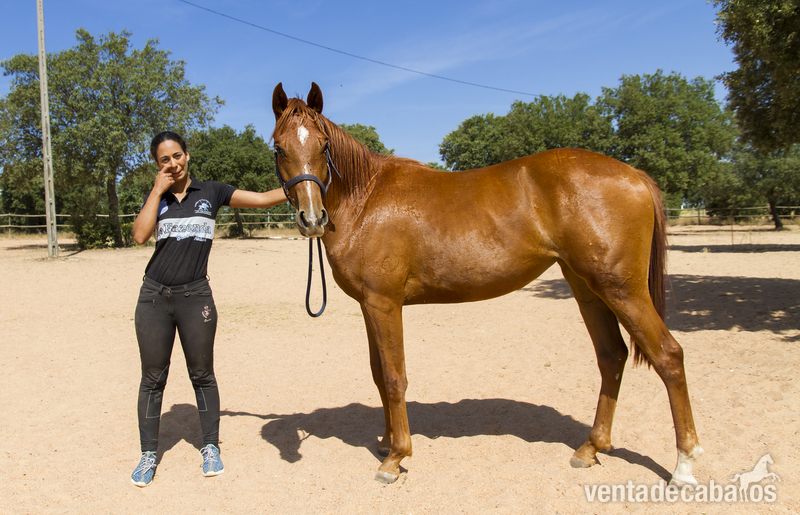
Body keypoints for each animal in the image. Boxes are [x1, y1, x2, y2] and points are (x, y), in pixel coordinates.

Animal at [270, 82, 703, 486]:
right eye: (278, 147)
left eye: (324, 144)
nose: (312, 219)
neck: (367, 198)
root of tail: (634, 175)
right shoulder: (369, 305)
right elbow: (379, 373)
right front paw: (385, 441)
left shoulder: (384, 303)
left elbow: (395, 377)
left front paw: (395, 457)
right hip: (588, 288)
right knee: (612, 357)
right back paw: (590, 449)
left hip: (622, 289)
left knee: (669, 356)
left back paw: (684, 466)